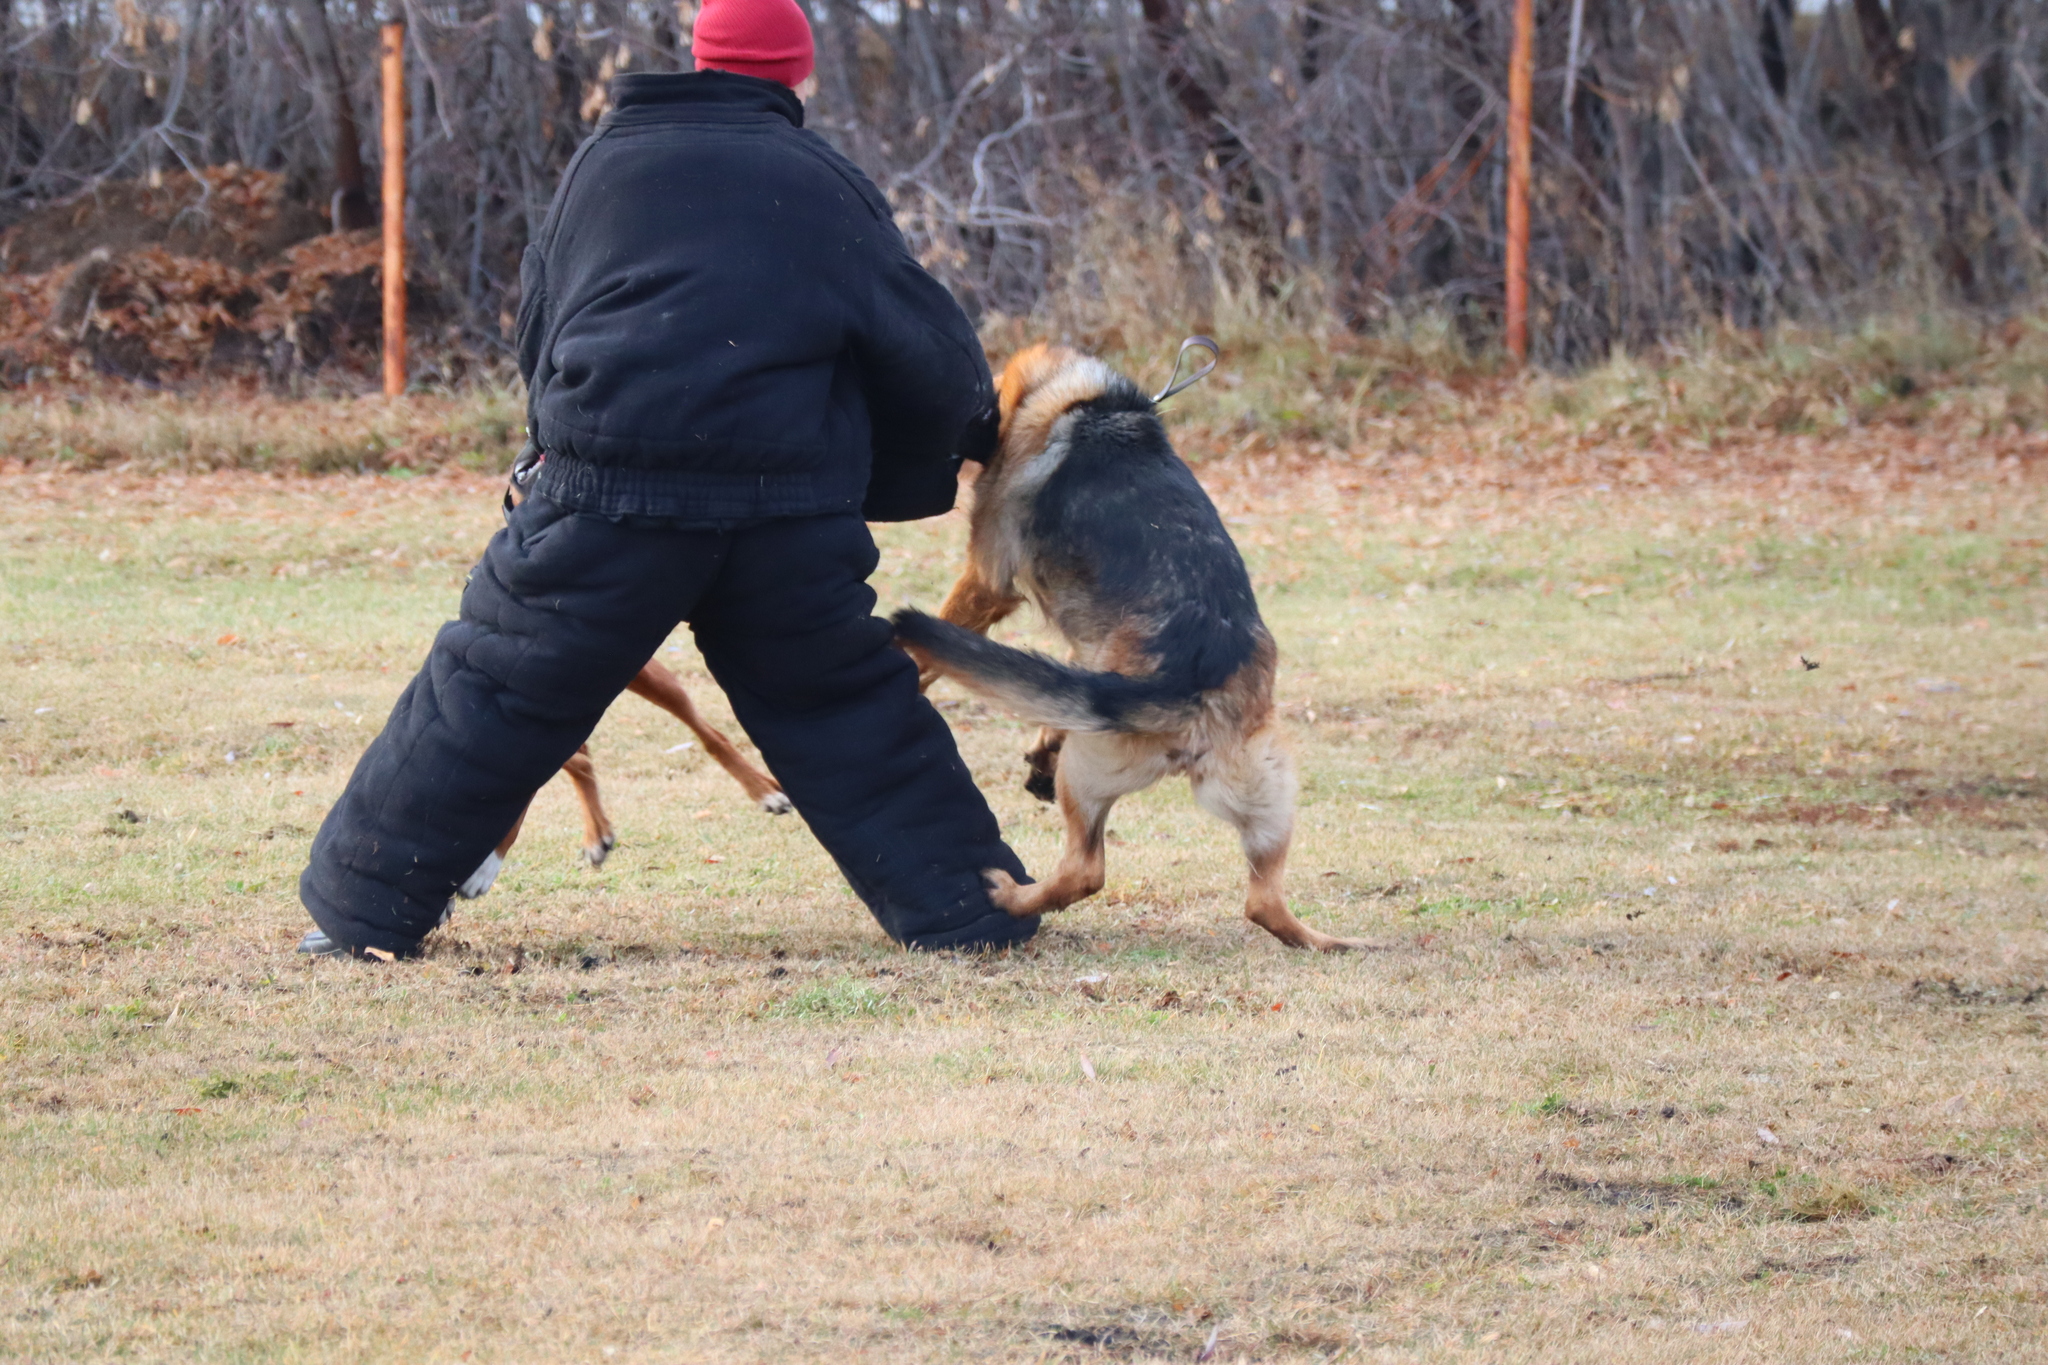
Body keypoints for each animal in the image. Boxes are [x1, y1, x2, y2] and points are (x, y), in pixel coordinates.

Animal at [892, 343, 1359, 949]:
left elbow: (936, 645)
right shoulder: (1088, 649)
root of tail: (1190, 692)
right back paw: (1331, 942)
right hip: (1270, 802)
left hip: (1086, 775)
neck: (1090, 401)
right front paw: (1041, 743)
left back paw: (1011, 895)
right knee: (1265, 903)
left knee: (1085, 870)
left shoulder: (986, 579)